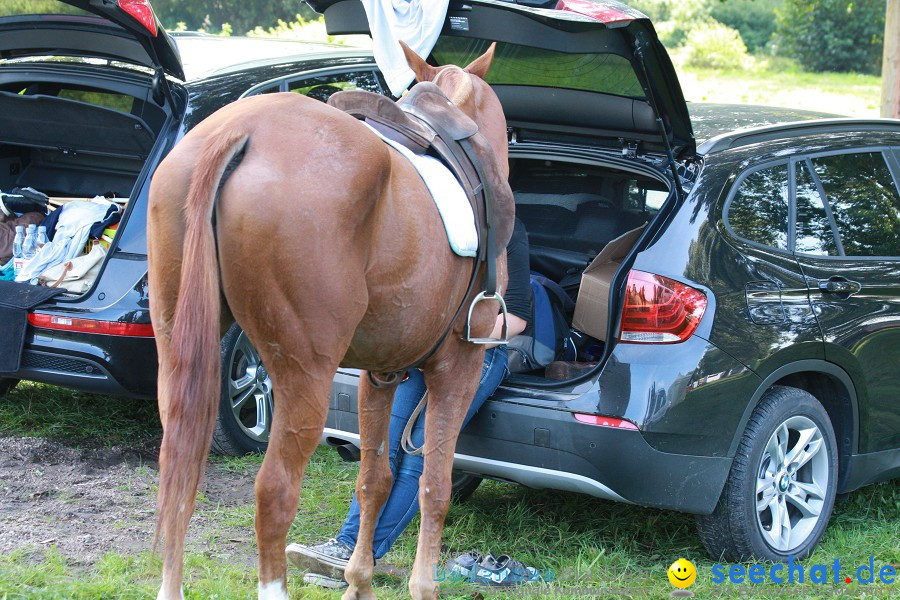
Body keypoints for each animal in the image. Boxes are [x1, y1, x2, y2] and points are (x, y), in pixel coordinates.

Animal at [149, 43, 512, 600]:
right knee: (274, 490)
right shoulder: (459, 366)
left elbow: (374, 480)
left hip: (177, 351)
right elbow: (434, 485)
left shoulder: (379, 373)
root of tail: (238, 130)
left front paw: (358, 582)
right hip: (305, 376)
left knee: (177, 474)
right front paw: (422, 586)